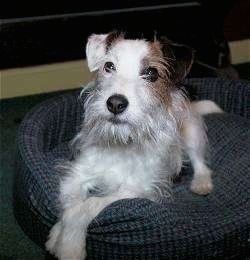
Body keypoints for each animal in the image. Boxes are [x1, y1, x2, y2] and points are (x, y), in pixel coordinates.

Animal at [46, 31, 222, 258]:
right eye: (109, 66)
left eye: (151, 73)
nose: (115, 103)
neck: (123, 141)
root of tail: (192, 105)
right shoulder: (78, 174)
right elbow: (71, 204)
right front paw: (58, 235)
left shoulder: (135, 190)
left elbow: (89, 204)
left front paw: (70, 248)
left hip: (191, 133)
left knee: (199, 161)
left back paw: (201, 183)